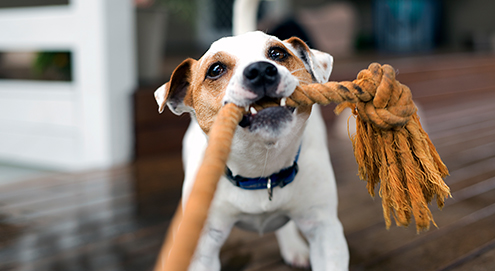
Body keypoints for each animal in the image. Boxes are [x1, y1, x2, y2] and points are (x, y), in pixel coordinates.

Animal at [155, 30, 348, 270]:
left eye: (277, 53)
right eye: (215, 70)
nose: (261, 70)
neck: (261, 170)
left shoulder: (325, 230)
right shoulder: (203, 246)